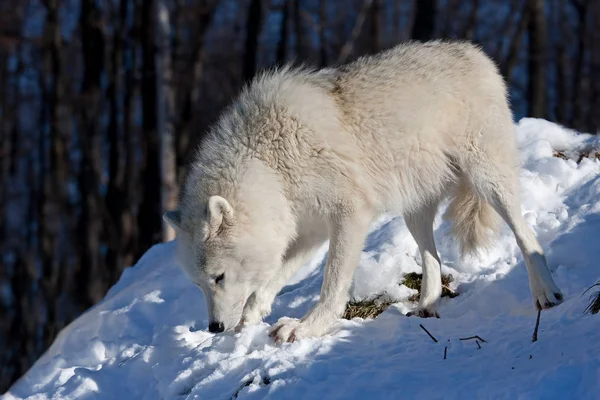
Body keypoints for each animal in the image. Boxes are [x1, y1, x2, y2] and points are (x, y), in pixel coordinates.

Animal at [163, 40, 564, 344]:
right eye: (199, 284)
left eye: (219, 277)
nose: (215, 328)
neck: (269, 161)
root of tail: (475, 53)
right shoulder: (304, 230)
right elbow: (271, 281)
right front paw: (250, 320)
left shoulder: (348, 215)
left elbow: (332, 283)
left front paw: (307, 328)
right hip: (414, 210)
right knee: (431, 259)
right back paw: (426, 305)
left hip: (488, 180)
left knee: (524, 233)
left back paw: (545, 292)